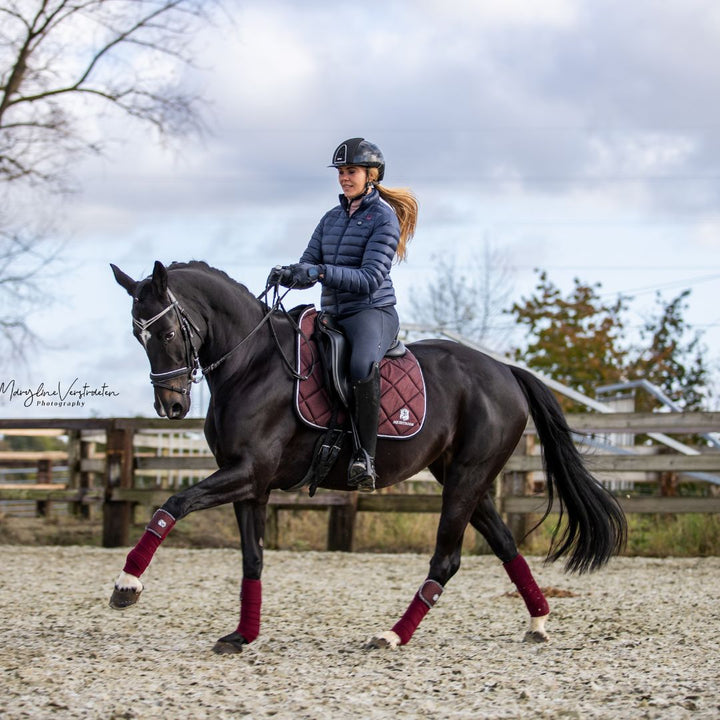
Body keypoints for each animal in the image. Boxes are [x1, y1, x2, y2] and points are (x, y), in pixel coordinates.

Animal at [107, 260, 624, 652]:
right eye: (136, 336)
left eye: (167, 332)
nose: (171, 407)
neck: (252, 364)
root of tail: (506, 372)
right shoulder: (252, 485)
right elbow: (252, 559)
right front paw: (243, 635)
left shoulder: (246, 473)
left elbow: (172, 505)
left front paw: (127, 585)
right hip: (466, 480)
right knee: (505, 544)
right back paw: (538, 622)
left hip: (466, 479)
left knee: (447, 560)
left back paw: (392, 636)